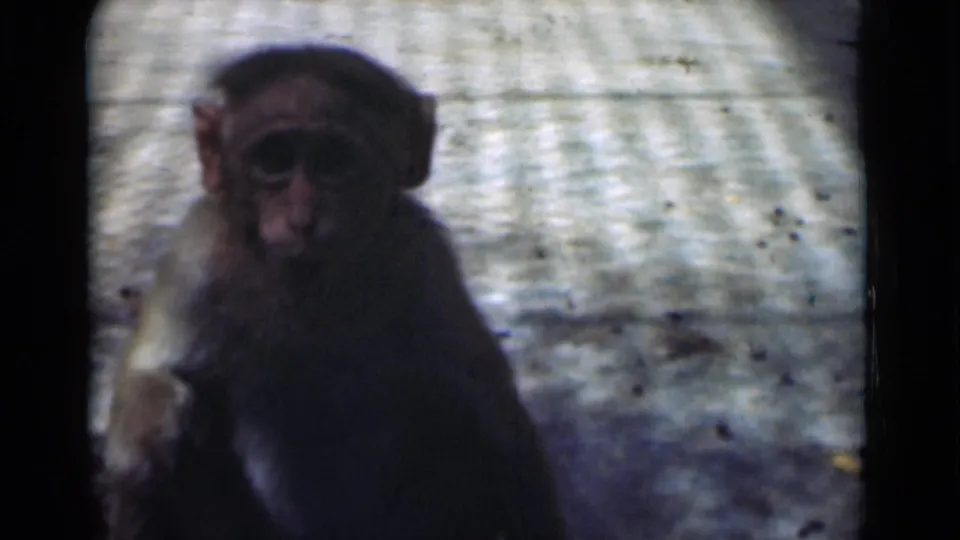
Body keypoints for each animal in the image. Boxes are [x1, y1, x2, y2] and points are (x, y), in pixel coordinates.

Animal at [100, 43, 568, 540]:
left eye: (334, 161)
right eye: (274, 159)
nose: (301, 215)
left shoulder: (423, 257)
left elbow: (495, 416)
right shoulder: (198, 254)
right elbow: (152, 382)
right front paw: (154, 430)